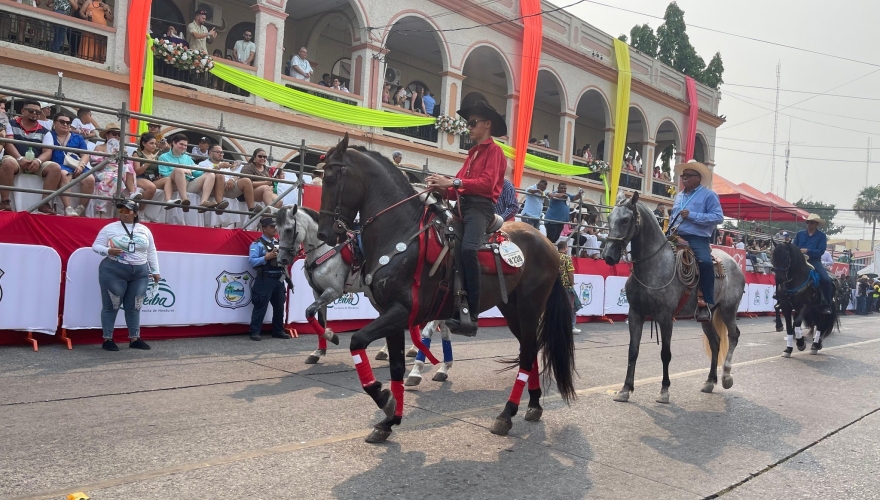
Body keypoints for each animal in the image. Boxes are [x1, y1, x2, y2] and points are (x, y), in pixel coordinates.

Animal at [276, 203, 454, 382]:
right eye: (277, 229)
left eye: (289, 230)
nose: (282, 259)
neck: (324, 250)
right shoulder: (317, 292)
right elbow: (319, 319)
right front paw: (319, 351)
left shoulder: (333, 291)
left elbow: (309, 312)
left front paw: (332, 337)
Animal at [316, 133, 576, 442]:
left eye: (332, 177)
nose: (324, 233)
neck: (401, 233)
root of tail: (549, 244)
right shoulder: (391, 316)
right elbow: (395, 367)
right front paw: (389, 421)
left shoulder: (401, 311)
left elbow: (357, 341)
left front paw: (383, 398)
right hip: (511, 309)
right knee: (530, 349)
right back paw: (533, 405)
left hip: (529, 306)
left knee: (526, 354)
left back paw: (506, 414)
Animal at [600, 193, 744, 404]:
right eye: (610, 218)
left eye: (625, 220)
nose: (608, 255)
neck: (654, 265)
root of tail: (734, 262)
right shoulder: (635, 314)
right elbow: (633, 351)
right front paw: (625, 389)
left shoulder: (665, 318)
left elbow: (665, 354)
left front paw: (664, 390)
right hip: (707, 316)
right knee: (716, 342)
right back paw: (710, 381)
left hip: (728, 309)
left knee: (733, 336)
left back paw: (726, 377)